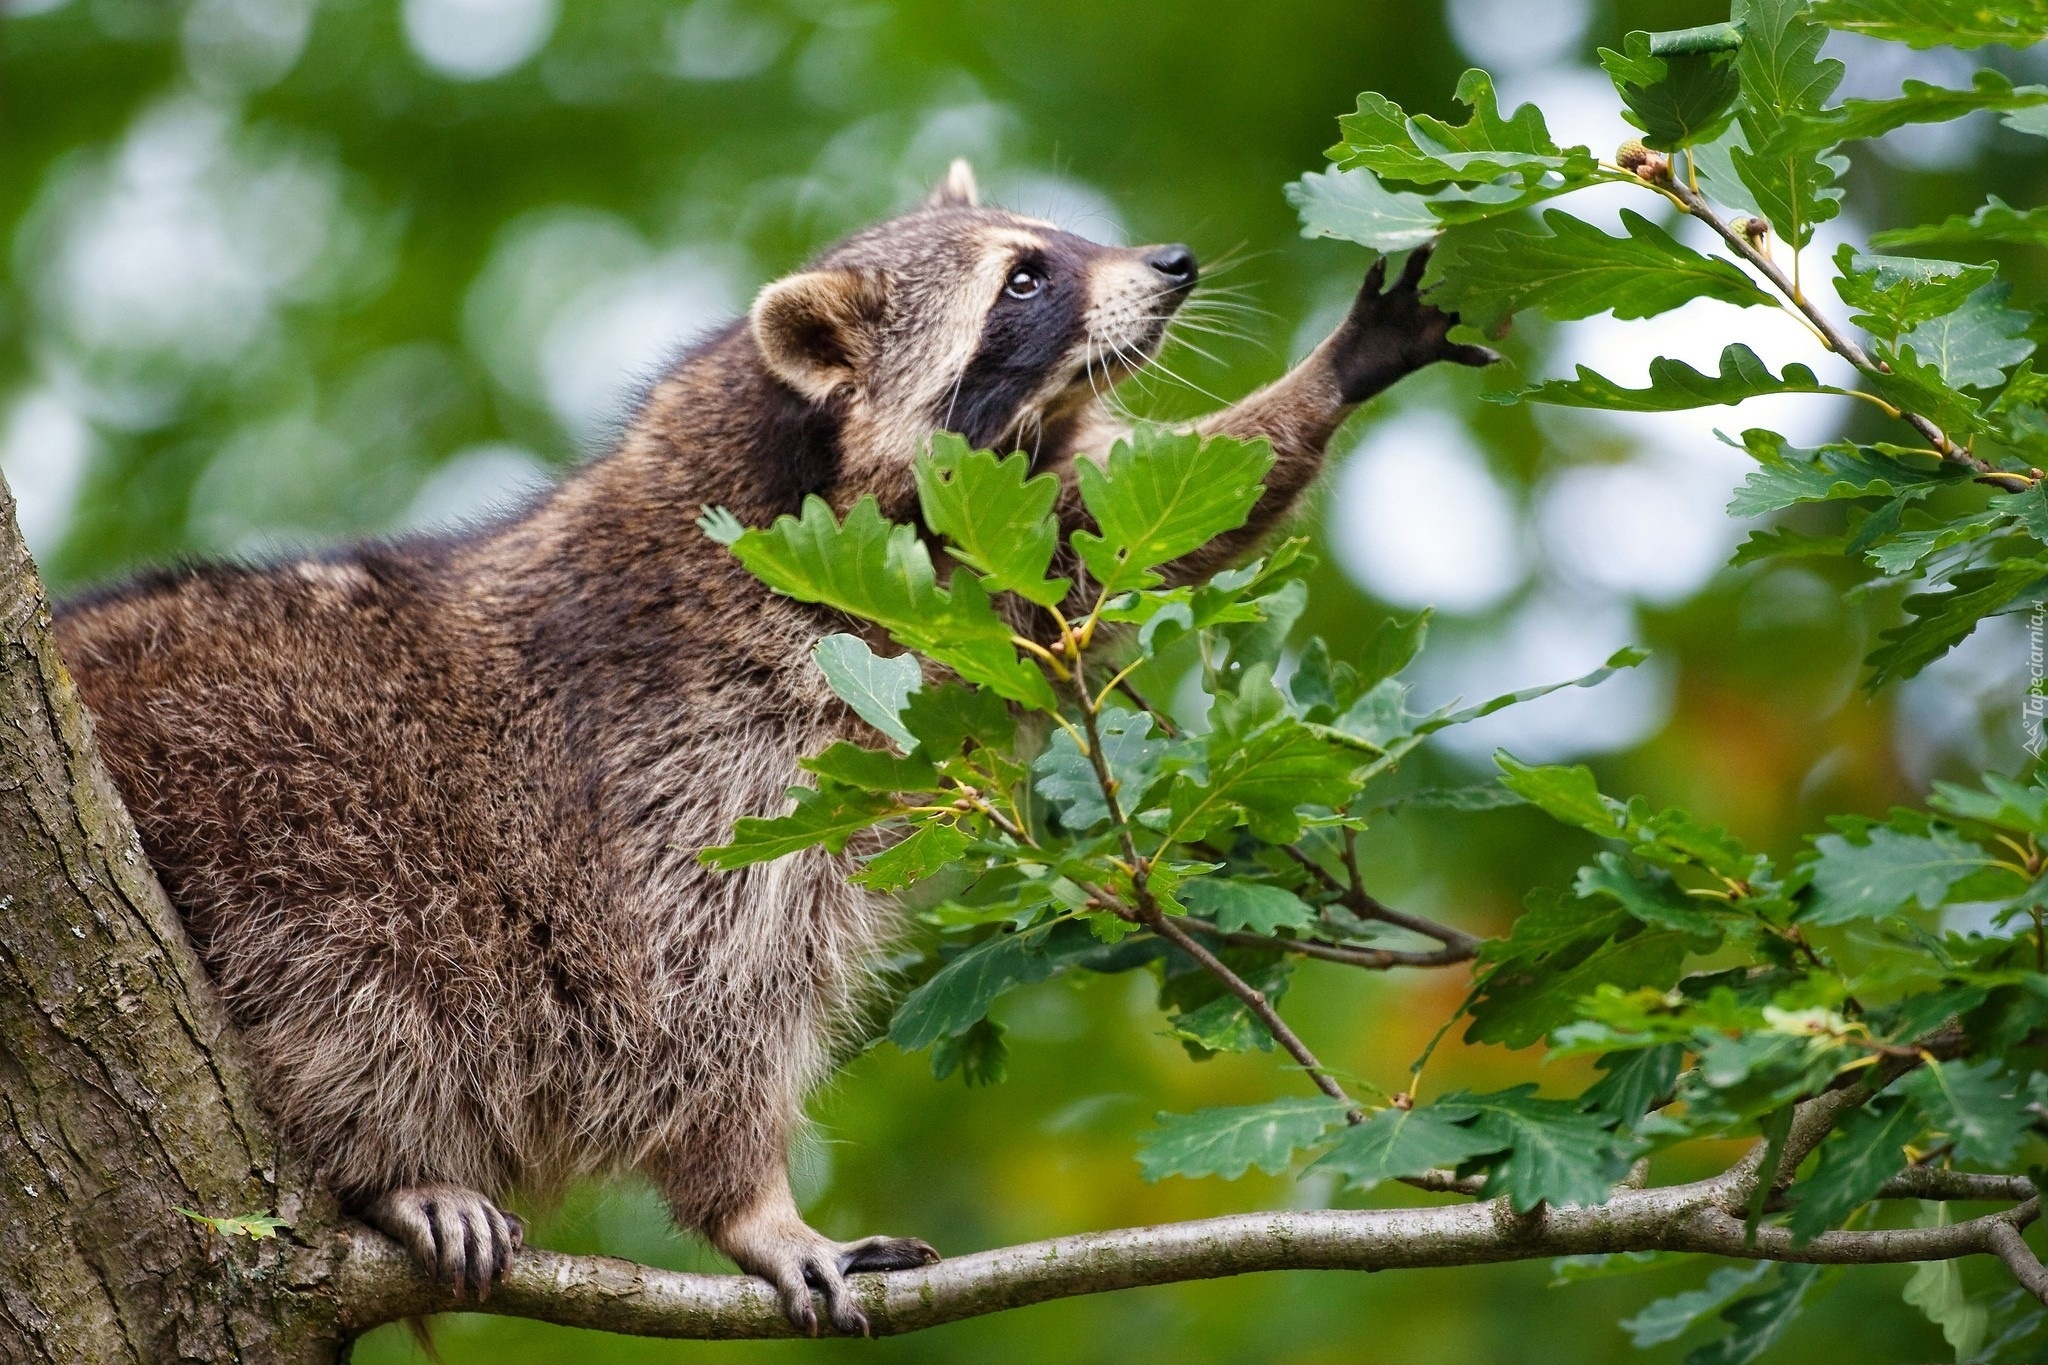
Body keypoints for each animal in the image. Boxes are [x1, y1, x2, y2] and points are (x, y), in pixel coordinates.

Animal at [51, 160, 1490, 1334]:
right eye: (1024, 277)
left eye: (1061, 235)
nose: (1173, 264)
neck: (804, 465)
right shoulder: (696, 745)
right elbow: (698, 998)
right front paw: (753, 1207)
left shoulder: (992, 569)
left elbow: (1152, 518)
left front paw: (1329, 372)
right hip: (270, 789)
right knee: (360, 973)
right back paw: (396, 1167)